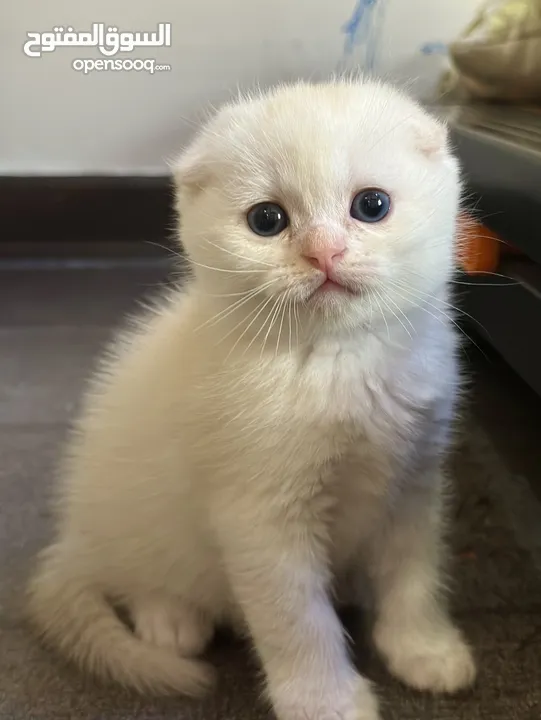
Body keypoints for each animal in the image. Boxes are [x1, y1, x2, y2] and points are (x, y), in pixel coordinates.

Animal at [29, 80, 474, 720]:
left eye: (371, 205)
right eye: (267, 220)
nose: (323, 253)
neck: (340, 361)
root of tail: (76, 539)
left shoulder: (415, 479)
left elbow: (415, 574)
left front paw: (424, 648)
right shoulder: (259, 514)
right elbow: (298, 619)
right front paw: (326, 700)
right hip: (134, 509)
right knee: (139, 573)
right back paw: (170, 619)